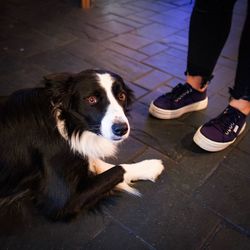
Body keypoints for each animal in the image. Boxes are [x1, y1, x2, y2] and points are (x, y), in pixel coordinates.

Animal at [0, 69, 164, 220]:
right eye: (91, 99)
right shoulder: (64, 201)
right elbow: (118, 169)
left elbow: (98, 163)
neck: (67, 122)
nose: (122, 129)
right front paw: (149, 166)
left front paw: (148, 167)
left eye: (121, 96)